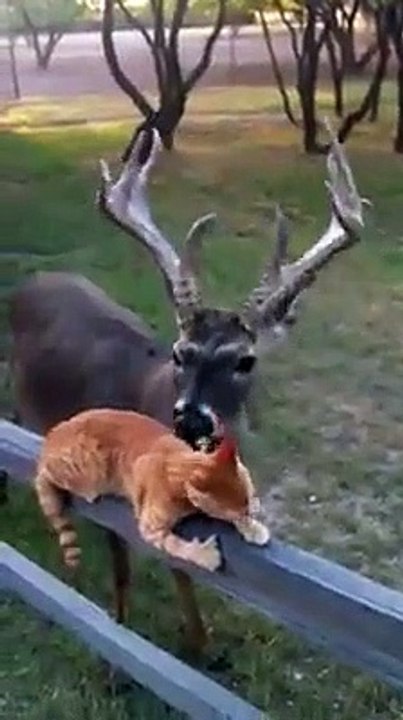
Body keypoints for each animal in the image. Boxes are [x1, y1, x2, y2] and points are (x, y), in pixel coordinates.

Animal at [4, 124, 367, 655]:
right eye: (179, 353)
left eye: (245, 360)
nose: (192, 417)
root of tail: (34, 280)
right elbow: (126, 569)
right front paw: (122, 631)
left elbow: (185, 565)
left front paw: (200, 644)